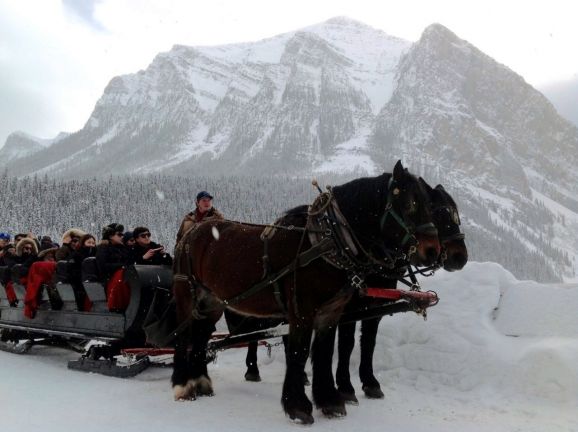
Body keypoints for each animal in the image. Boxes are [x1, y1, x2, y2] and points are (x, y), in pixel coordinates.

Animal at [169, 160, 438, 424]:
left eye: (430, 204)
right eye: (411, 203)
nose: (433, 251)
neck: (329, 240)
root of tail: (191, 233)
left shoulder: (331, 312)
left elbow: (324, 353)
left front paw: (329, 401)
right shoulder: (302, 311)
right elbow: (299, 353)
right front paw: (298, 406)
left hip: (213, 302)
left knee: (201, 336)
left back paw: (201, 382)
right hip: (186, 295)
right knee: (183, 336)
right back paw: (183, 385)